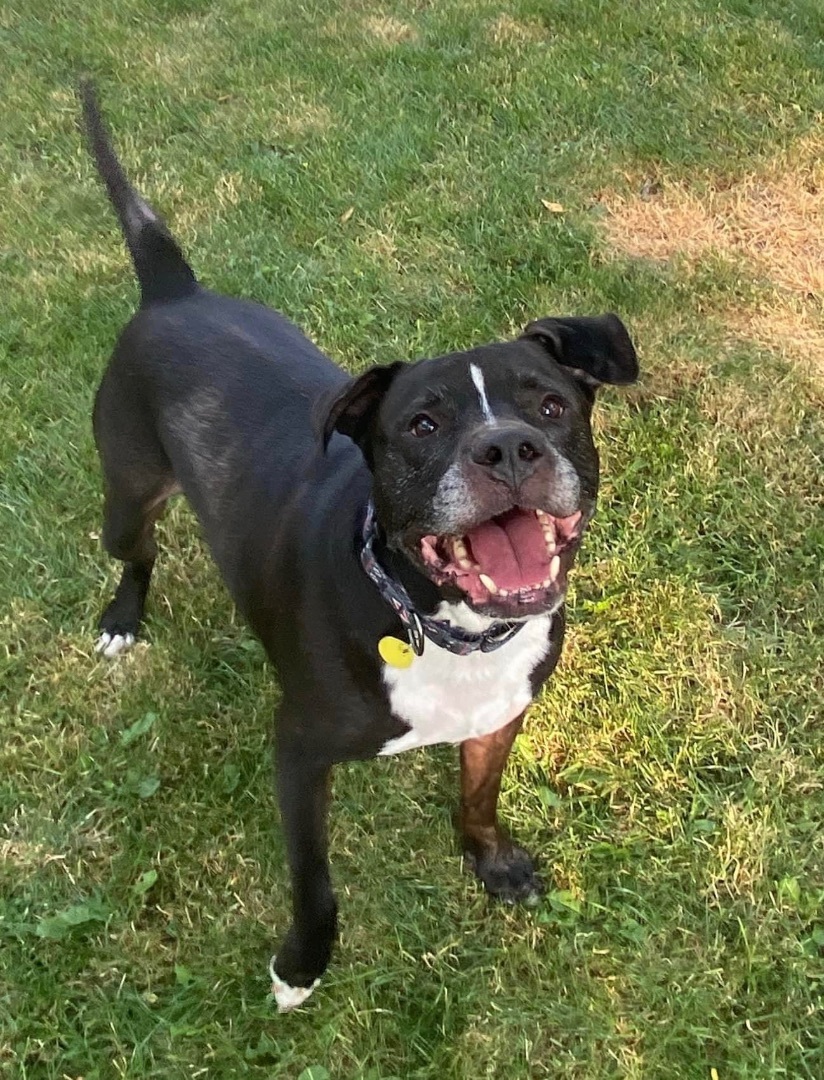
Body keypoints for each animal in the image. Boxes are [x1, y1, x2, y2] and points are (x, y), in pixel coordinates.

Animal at [82, 86, 639, 1010]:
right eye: (421, 425)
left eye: (552, 405)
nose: (508, 448)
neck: (440, 624)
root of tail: (173, 292)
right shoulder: (300, 755)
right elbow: (315, 881)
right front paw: (302, 965)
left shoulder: (501, 715)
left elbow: (478, 798)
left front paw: (492, 863)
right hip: (127, 491)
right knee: (136, 550)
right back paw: (124, 618)